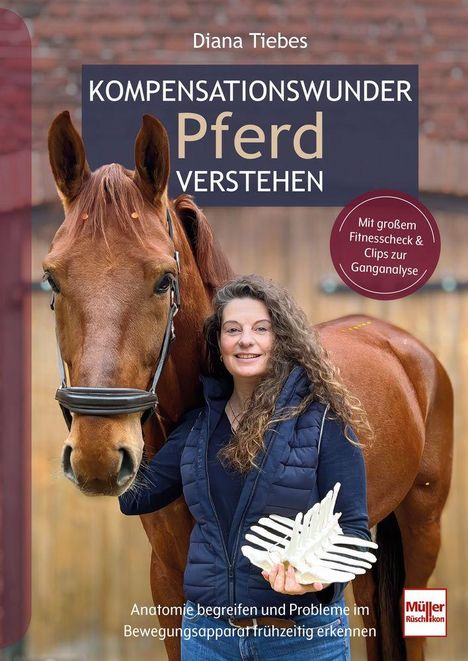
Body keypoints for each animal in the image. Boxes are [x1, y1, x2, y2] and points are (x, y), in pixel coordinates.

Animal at [44, 111, 453, 661]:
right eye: (52, 278)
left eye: (164, 279)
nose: (97, 453)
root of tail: (402, 345)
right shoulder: (170, 592)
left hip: (422, 531)